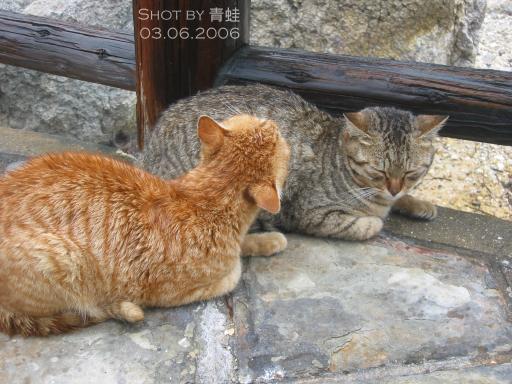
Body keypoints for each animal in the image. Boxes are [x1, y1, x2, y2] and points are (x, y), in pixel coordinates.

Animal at [0, 114, 288, 336]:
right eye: (269, 127)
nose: (275, 121)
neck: (205, 198)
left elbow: (245, 243)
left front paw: (267, 240)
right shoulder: (178, 291)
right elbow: (234, 273)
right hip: (65, 260)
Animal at [141, 84, 448, 240]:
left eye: (411, 172)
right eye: (378, 171)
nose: (394, 189)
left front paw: (417, 202)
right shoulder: (311, 214)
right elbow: (365, 224)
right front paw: (377, 219)